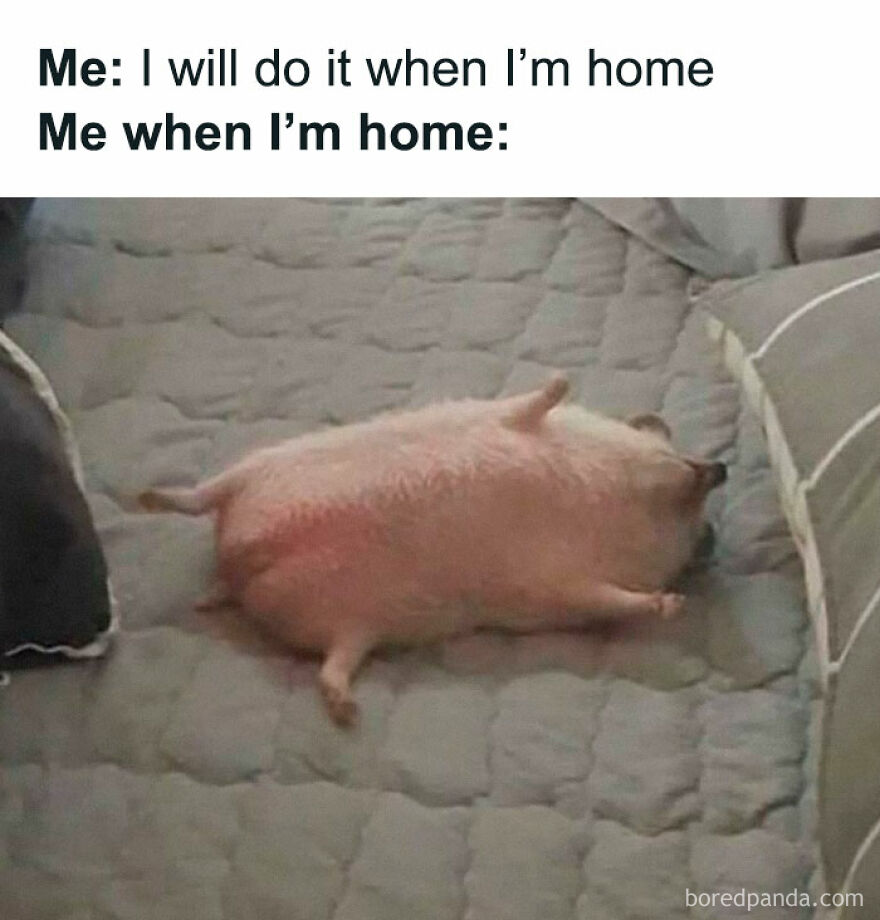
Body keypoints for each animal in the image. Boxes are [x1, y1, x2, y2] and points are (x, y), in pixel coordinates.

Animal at [139, 375, 725, 725]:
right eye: (675, 456)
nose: (719, 468)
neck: (605, 493)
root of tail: (238, 559)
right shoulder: (514, 423)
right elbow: (535, 403)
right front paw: (561, 379)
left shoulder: (559, 589)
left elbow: (615, 600)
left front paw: (670, 605)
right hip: (257, 468)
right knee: (202, 494)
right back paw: (145, 496)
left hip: (351, 627)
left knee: (333, 665)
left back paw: (345, 706)